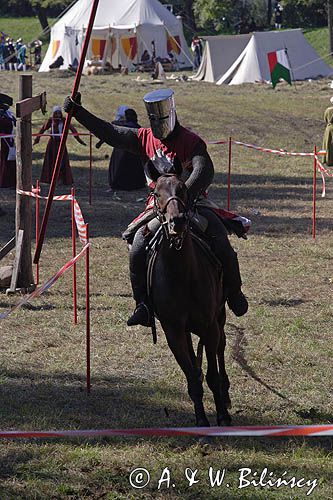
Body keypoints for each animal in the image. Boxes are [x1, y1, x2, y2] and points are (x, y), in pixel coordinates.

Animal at [148, 173, 231, 426]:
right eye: (156, 193)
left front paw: (222, 415)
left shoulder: (209, 327)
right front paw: (201, 420)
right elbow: (193, 377)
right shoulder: (174, 331)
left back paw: (226, 394)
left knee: (222, 347)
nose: (177, 222)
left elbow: (212, 374)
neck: (181, 275)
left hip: (220, 316)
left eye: (183, 189)